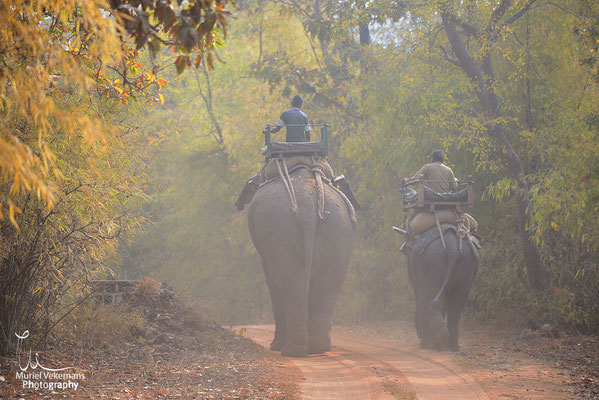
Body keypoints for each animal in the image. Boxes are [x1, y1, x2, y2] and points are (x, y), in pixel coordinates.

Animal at [248, 167, 356, 358]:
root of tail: (306, 204)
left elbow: (272, 280)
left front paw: (274, 346)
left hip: (280, 230)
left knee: (289, 283)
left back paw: (290, 350)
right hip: (338, 230)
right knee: (327, 284)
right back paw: (318, 347)